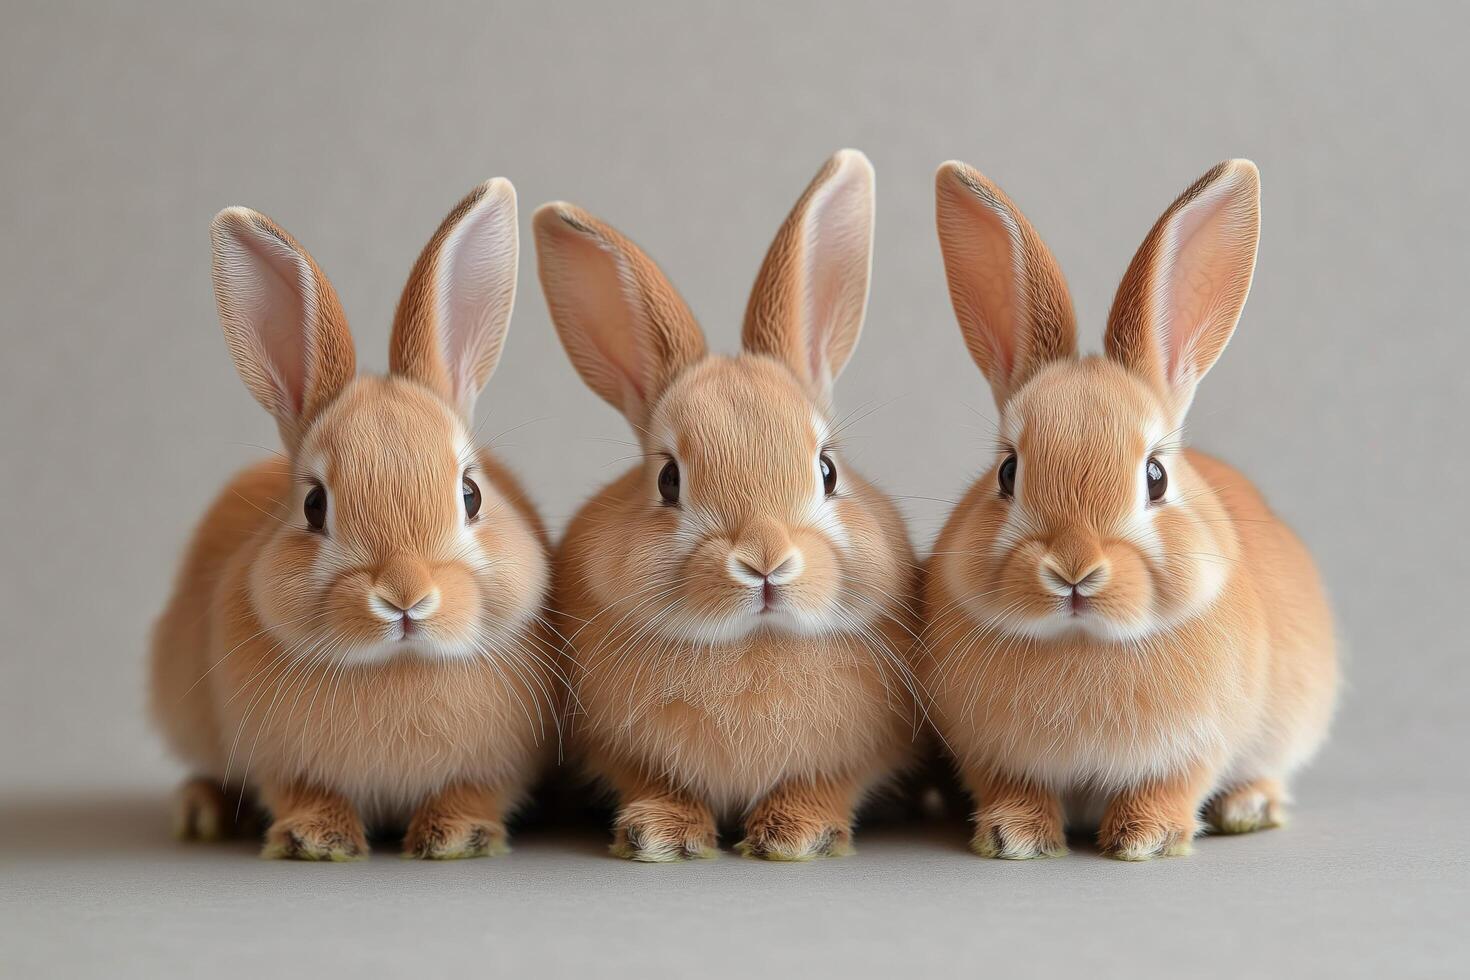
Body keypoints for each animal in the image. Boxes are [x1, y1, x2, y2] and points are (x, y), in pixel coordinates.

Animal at [148, 178, 564, 860]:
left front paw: (456, 835)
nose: (404, 597)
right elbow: (299, 791)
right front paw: (317, 838)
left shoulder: (498, 767)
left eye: (471, 494)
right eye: (314, 505)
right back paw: (199, 810)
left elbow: (475, 791)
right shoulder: (278, 762)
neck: (395, 667)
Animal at [532, 150, 922, 861]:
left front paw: (796, 831)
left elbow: (828, 783)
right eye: (667, 481)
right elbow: (653, 780)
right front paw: (661, 831)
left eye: (827, 471)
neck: (751, 643)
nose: (766, 561)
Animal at [918, 159, 1338, 861]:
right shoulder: (989, 754)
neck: (1082, 641)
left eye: (1155, 477)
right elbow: (1012, 787)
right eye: (1008, 473)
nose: (1074, 571)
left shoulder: (1196, 746)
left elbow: (1171, 785)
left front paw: (1145, 839)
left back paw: (1250, 805)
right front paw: (1015, 836)